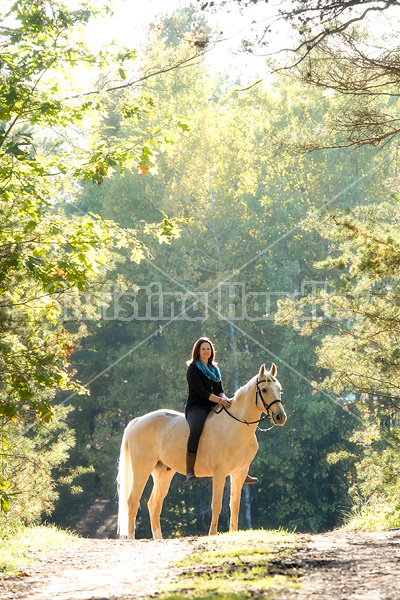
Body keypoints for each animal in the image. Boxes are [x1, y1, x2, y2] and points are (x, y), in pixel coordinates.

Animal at [117, 364, 286, 540]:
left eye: (279, 389)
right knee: (132, 502)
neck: (236, 426)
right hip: (142, 470)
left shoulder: (239, 473)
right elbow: (217, 504)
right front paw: (212, 534)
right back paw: (132, 539)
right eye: (264, 390)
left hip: (163, 472)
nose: (280, 417)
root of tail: (139, 420)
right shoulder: (220, 473)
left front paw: (233, 533)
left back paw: (159, 539)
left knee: (154, 505)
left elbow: (235, 504)